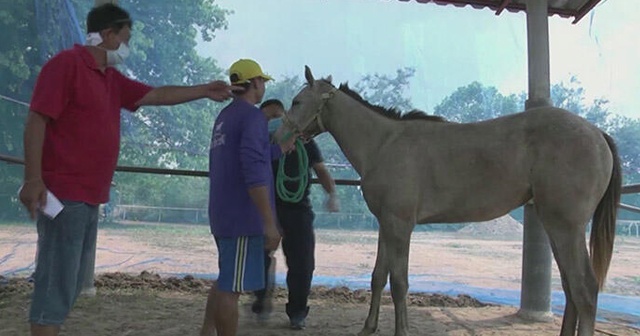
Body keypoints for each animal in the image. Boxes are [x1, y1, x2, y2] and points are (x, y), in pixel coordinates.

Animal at [278, 66, 620, 336]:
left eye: (297, 102)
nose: (278, 137)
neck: (384, 144)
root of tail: (597, 134)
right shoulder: (386, 224)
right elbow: (378, 277)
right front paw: (368, 327)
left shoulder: (400, 225)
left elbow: (399, 282)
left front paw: (402, 331)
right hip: (556, 226)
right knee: (571, 288)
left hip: (567, 227)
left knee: (585, 289)